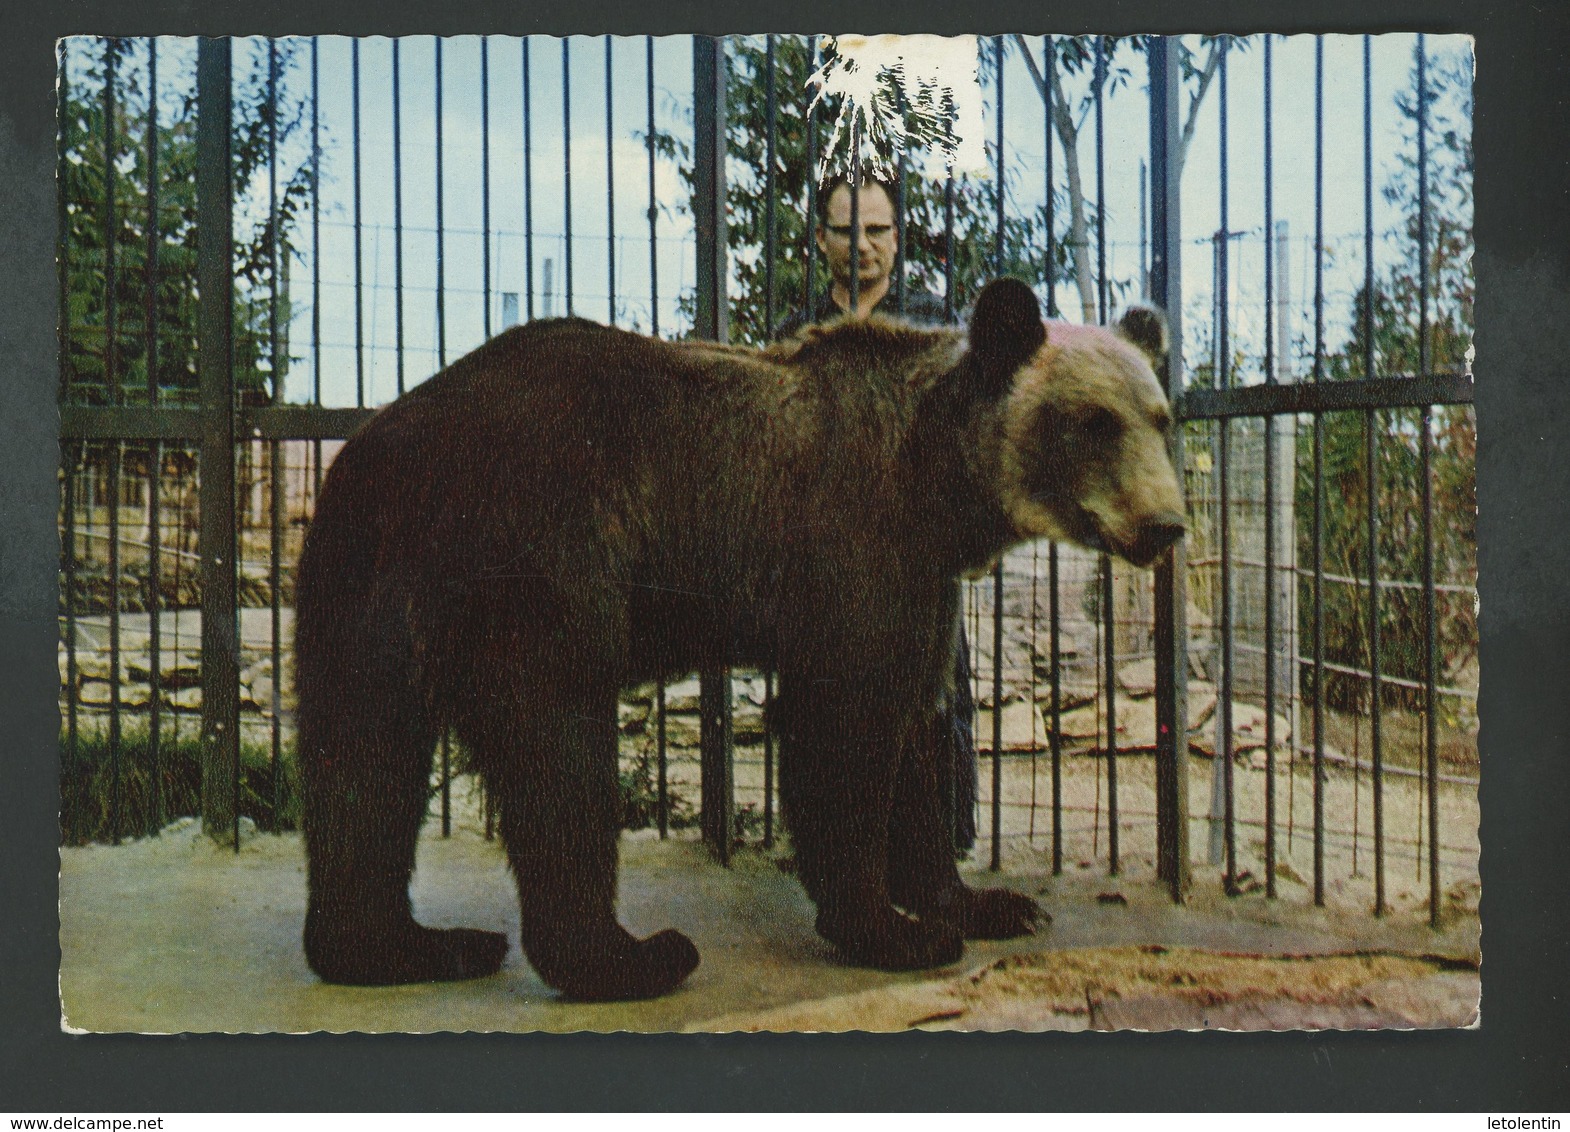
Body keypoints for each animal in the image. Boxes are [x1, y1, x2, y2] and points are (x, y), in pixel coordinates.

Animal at [292, 277, 1180, 1004]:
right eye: (1095, 422)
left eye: (1159, 418)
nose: (1165, 524)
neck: (940, 485)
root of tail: (386, 443)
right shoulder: (855, 536)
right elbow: (847, 721)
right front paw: (895, 930)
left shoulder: (927, 582)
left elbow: (917, 727)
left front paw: (990, 902)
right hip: (537, 548)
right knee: (556, 744)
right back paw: (630, 957)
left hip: (366, 586)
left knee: (363, 757)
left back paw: (403, 945)